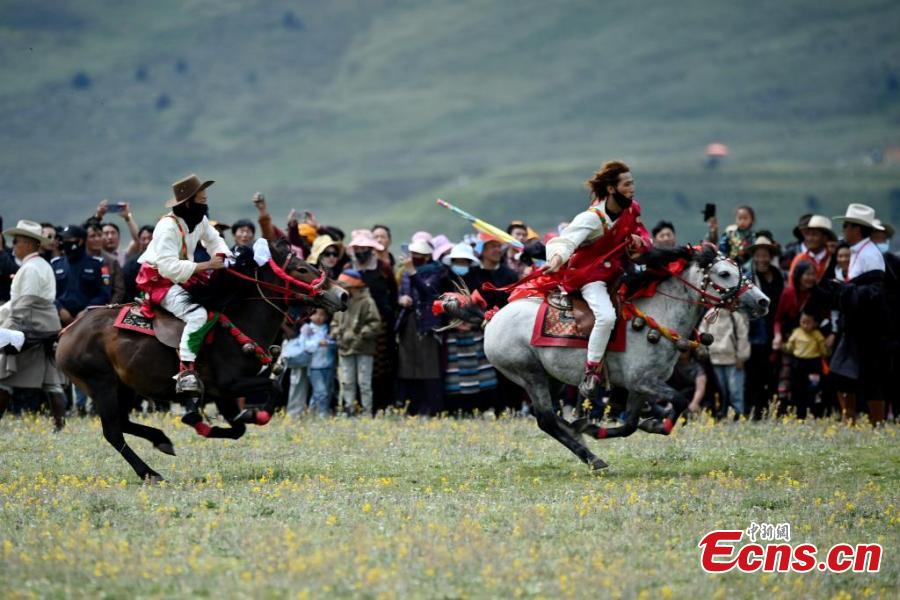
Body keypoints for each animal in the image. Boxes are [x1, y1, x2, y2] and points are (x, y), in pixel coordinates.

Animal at [54, 240, 346, 482]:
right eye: (301, 269)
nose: (342, 294)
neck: (238, 320)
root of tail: (67, 331)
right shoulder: (230, 384)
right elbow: (271, 388)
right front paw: (254, 414)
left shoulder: (223, 394)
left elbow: (238, 428)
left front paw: (203, 420)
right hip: (101, 384)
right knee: (113, 431)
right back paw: (149, 472)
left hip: (124, 387)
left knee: (123, 423)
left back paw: (161, 440)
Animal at [436, 244, 768, 468]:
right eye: (724, 273)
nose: (763, 301)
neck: (657, 315)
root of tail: (491, 318)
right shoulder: (644, 381)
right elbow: (681, 400)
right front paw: (655, 424)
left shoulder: (639, 386)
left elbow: (631, 423)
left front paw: (596, 428)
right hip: (529, 373)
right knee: (545, 419)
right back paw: (592, 457)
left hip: (552, 377)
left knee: (554, 417)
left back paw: (578, 432)